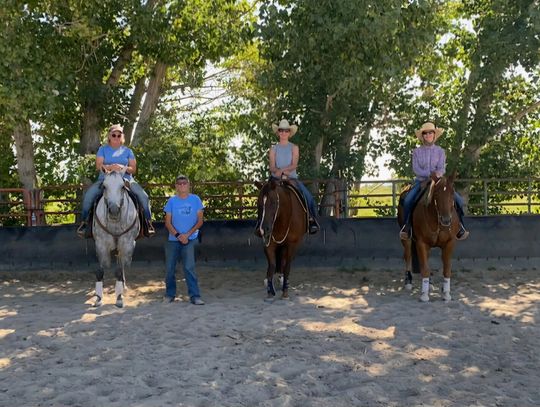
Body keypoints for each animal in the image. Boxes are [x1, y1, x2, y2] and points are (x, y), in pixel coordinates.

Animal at [93, 171, 140, 308]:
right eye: (104, 186)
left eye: (122, 187)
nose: (114, 210)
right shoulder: (100, 244)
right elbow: (100, 271)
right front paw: (98, 298)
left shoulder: (126, 244)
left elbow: (119, 270)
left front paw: (119, 298)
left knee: (122, 265)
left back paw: (123, 286)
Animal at [396, 173, 460, 302]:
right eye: (436, 194)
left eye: (452, 193)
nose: (446, 220)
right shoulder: (421, 243)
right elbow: (425, 268)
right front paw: (424, 295)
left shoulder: (450, 243)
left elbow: (447, 269)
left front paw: (446, 293)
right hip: (406, 239)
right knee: (408, 256)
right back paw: (408, 281)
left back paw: (429, 283)